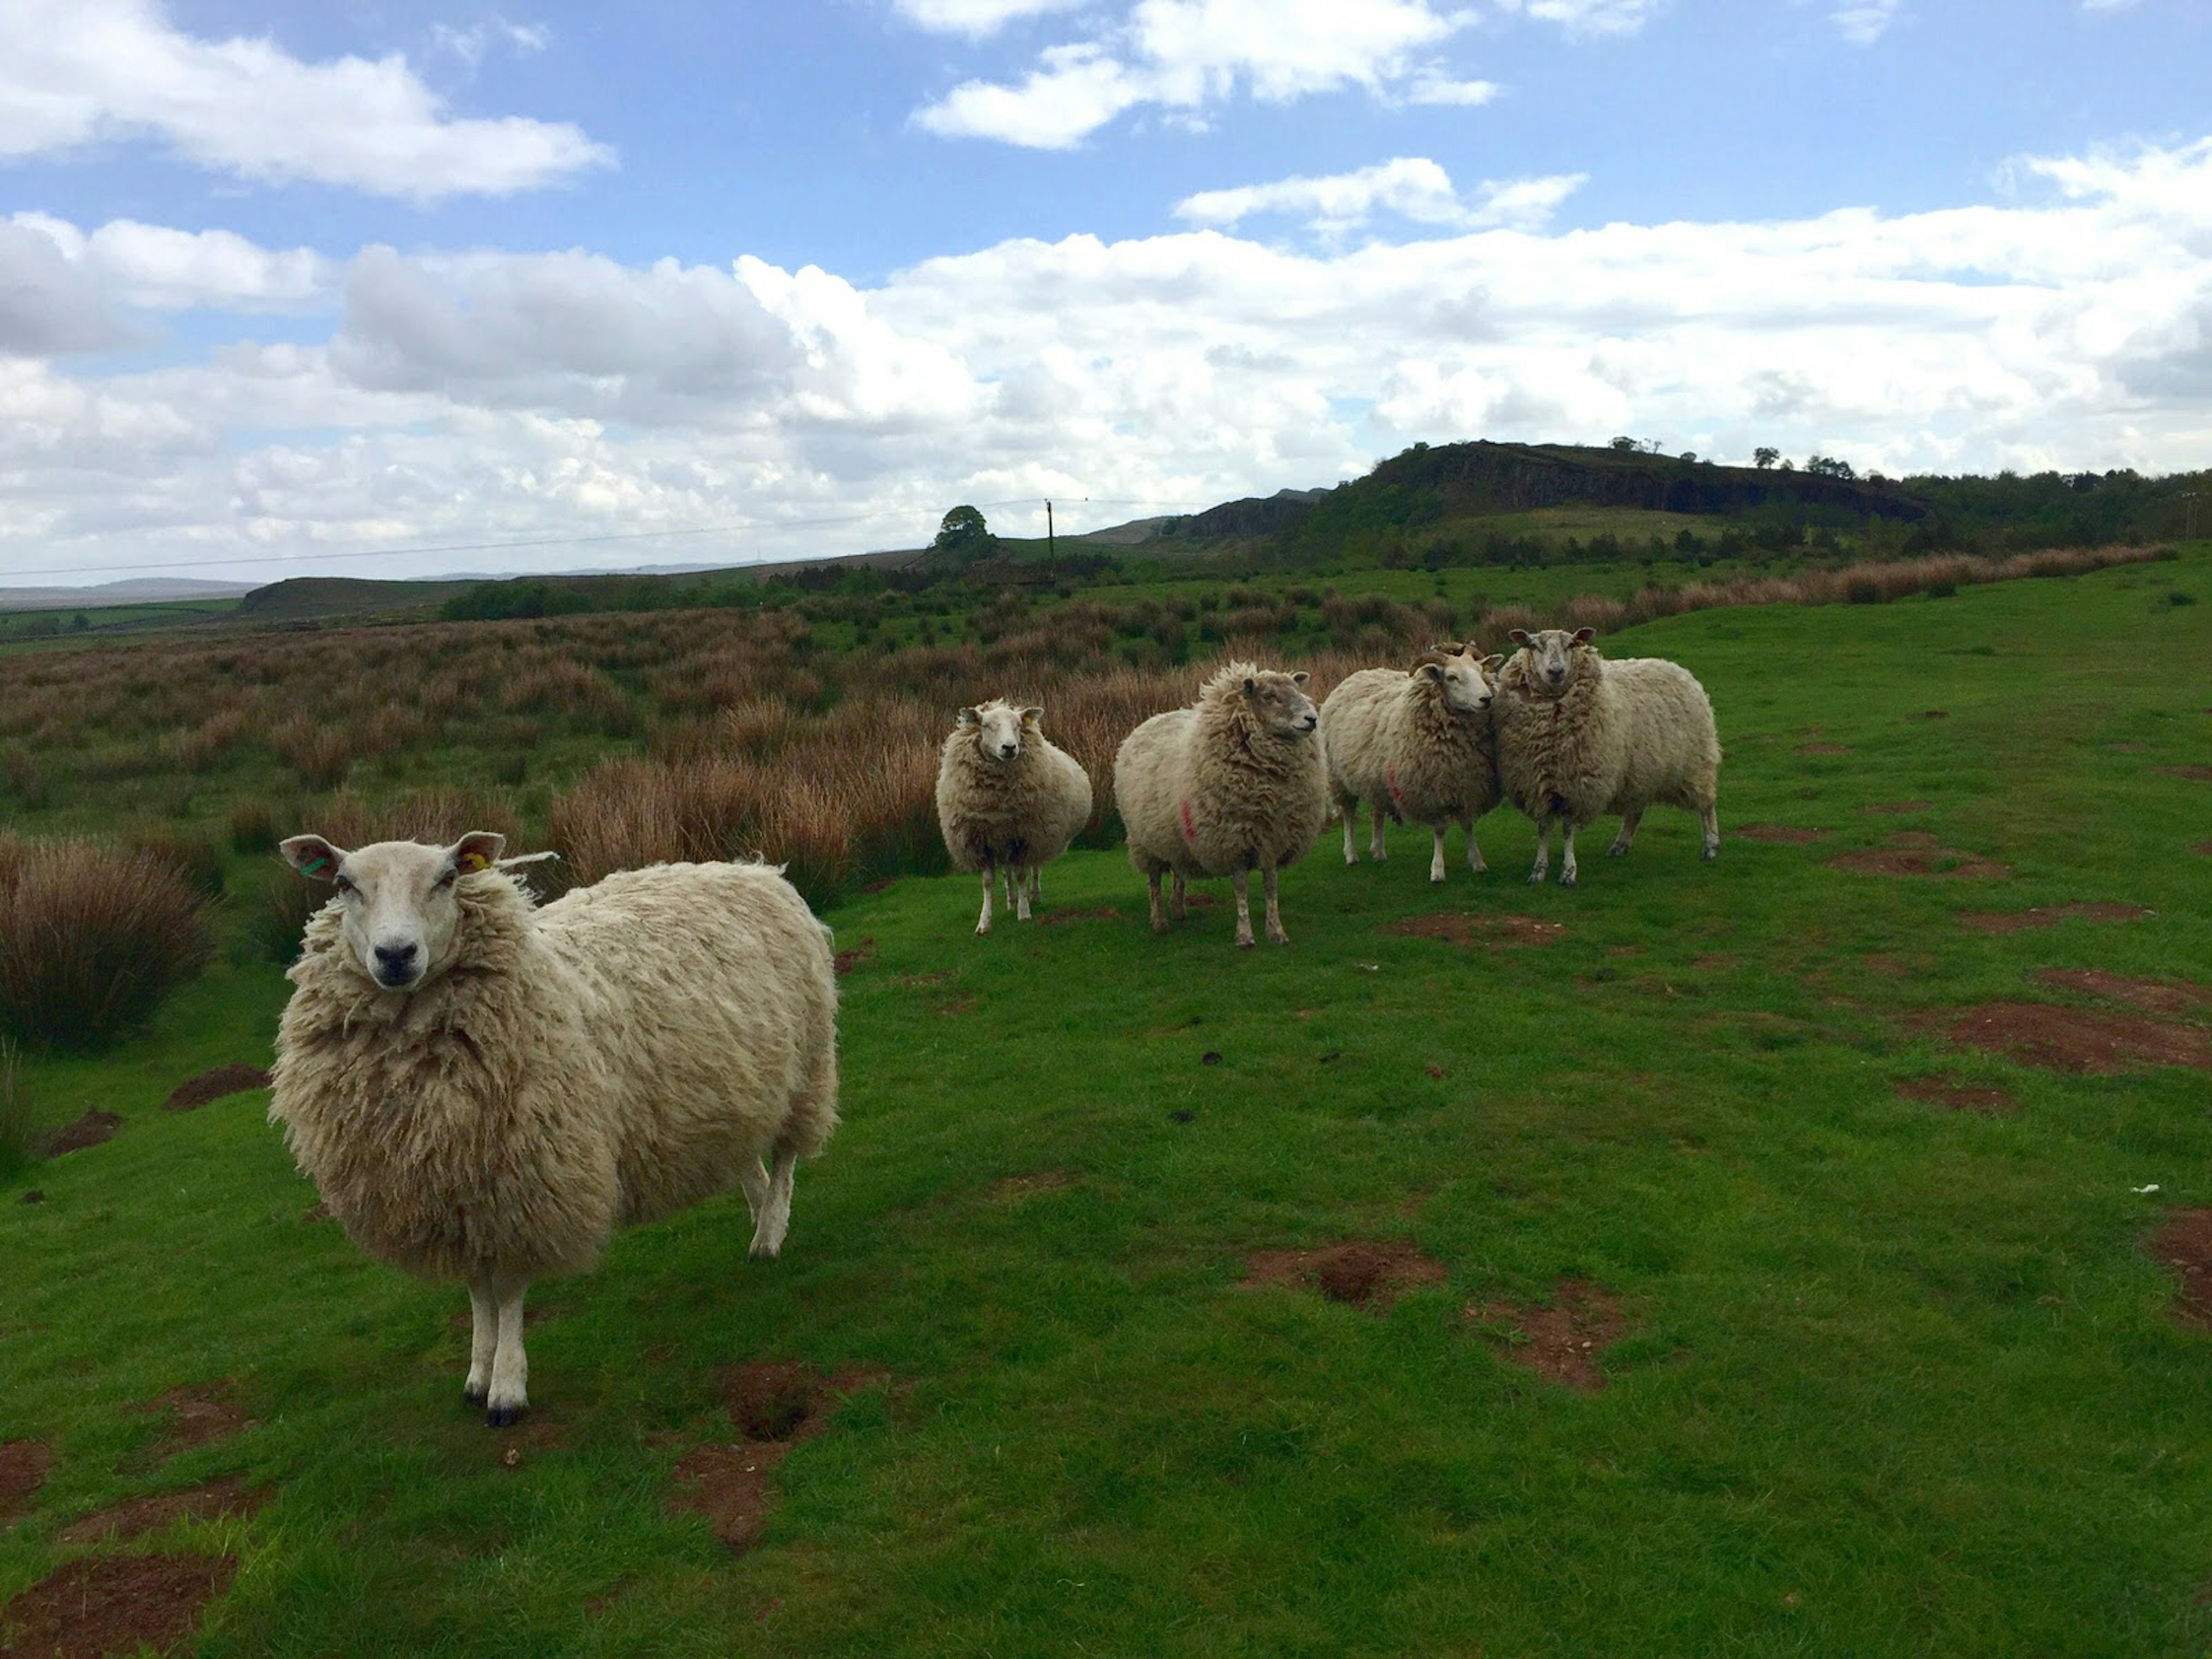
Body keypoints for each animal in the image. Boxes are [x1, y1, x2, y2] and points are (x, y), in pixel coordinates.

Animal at [267, 831, 836, 1433]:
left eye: (448, 878)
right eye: (343, 884)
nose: (395, 955)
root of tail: (754, 869)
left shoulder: (523, 1184)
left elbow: (508, 1291)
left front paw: (507, 1388)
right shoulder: (455, 1194)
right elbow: (477, 1292)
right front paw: (478, 1371)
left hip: (807, 1065)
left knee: (785, 1159)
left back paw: (769, 1235)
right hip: (731, 1088)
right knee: (747, 1156)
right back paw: (760, 1218)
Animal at [938, 699, 1092, 938]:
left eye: (1018, 725)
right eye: (987, 726)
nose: (1010, 748)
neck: (997, 806)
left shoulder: (1025, 837)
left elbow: (1022, 875)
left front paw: (1024, 912)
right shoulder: (983, 841)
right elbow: (988, 882)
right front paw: (985, 922)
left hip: (1039, 834)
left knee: (1035, 868)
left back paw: (1033, 896)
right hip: (1003, 841)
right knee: (1006, 871)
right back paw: (1010, 900)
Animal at [1115, 664, 1318, 946]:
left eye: (1297, 690)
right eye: (1269, 696)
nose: (1312, 719)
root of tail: (1149, 721)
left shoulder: (1272, 837)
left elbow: (1271, 886)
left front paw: (1276, 931)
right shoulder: (1234, 839)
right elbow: (1241, 887)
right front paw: (1245, 936)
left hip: (1176, 836)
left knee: (1178, 870)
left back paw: (1178, 909)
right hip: (1143, 840)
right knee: (1154, 881)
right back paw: (1160, 922)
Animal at [1318, 641, 1513, 889]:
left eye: (1481, 672)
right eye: (1452, 677)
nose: (1486, 699)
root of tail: (1358, 674)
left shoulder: (1465, 785)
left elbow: (1468, 825)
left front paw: (1478, 862)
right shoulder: (1432, 790)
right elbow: (1439, 830)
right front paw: (1437, 871)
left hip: (1374, 776)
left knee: (1377, 813)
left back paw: (1378, 850)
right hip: (1339, 777)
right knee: (1349, 815)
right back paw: (1351, 854)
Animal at [1486, 623, 1725, 889]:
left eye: (1571, 645)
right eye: (1534, 646)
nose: (1556, 672)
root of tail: (1679, 669)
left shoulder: (1576, 786)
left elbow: (1567, 830)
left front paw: (1569, 872)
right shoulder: (1539, 785)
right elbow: (1543, 829)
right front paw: (1538, 870)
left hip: (1696, 764)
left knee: (1707, 805)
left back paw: (1710, 845)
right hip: (1639, 772)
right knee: (1635, 812)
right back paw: (1620, 845)